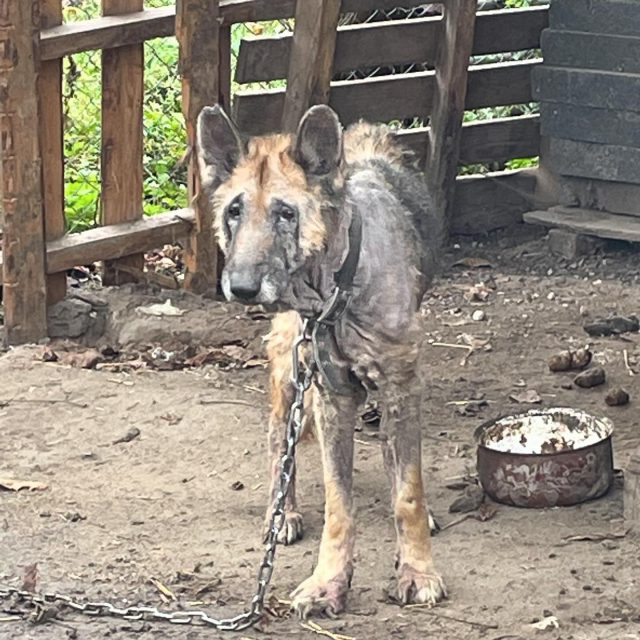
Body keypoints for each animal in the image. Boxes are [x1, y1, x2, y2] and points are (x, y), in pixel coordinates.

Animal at [195, 102, 444, 616]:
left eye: (285, 213)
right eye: (234, 211)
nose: (241, 287)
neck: (339, 289)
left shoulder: (401, 388)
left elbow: (407, 491)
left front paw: (417, 569)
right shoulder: (333, 396)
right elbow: (337, 504)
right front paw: (329, 581)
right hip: (289, 373)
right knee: (278, 445)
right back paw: (282, 512)